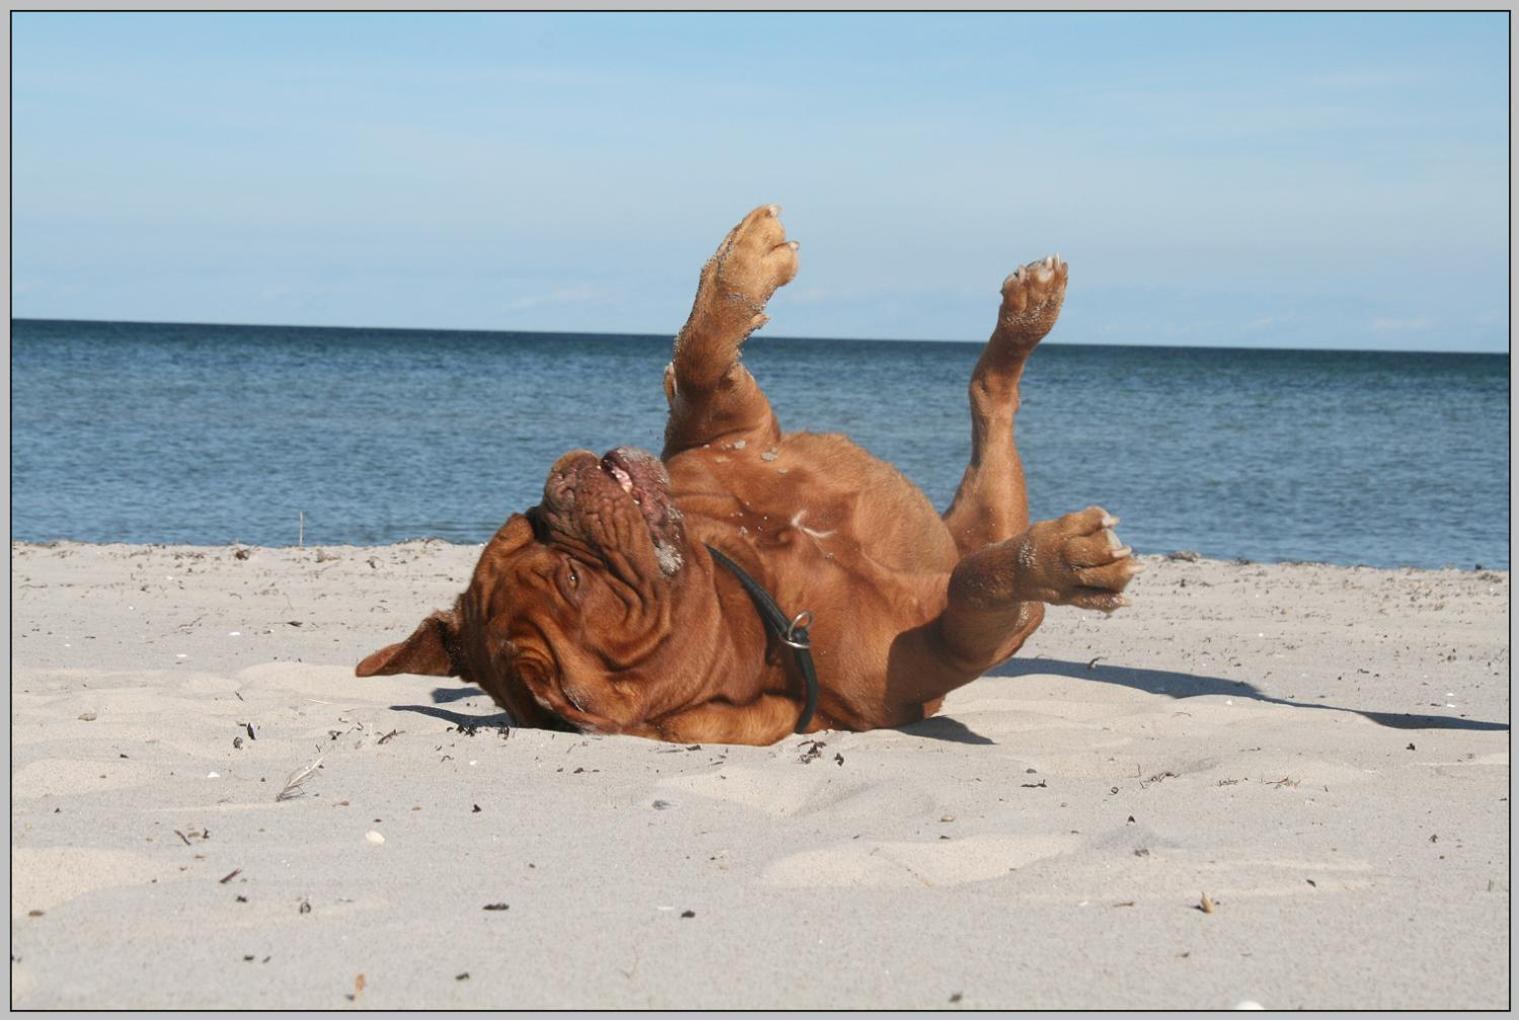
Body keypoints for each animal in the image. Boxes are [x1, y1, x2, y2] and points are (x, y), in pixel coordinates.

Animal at [358, 203, 1142, 744]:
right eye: (573, 582)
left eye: (524, 527)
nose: (559, 489)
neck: (756, 598)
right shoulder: (944, 643)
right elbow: (972, 588)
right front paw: (1064, 558)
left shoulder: (725, 429)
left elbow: (702, 355)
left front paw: (738, 263)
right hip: (988, 519)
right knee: (984, 468)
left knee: (989, 393)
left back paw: (1026, 311)